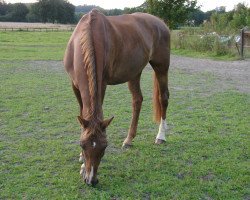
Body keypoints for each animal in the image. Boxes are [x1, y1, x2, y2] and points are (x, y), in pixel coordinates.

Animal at [63, 9, 171, 186]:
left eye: (104, 147)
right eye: (82, 145)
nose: (91, 180)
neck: (88, 35)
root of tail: (160, 22)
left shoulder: (102, 83)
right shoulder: (74, 85)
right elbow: (82, 113)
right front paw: (80, 158)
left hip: (161, 66)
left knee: (164, 98)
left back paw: (161, 136)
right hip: (134, 71)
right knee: (137, 100)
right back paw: (129, 140)